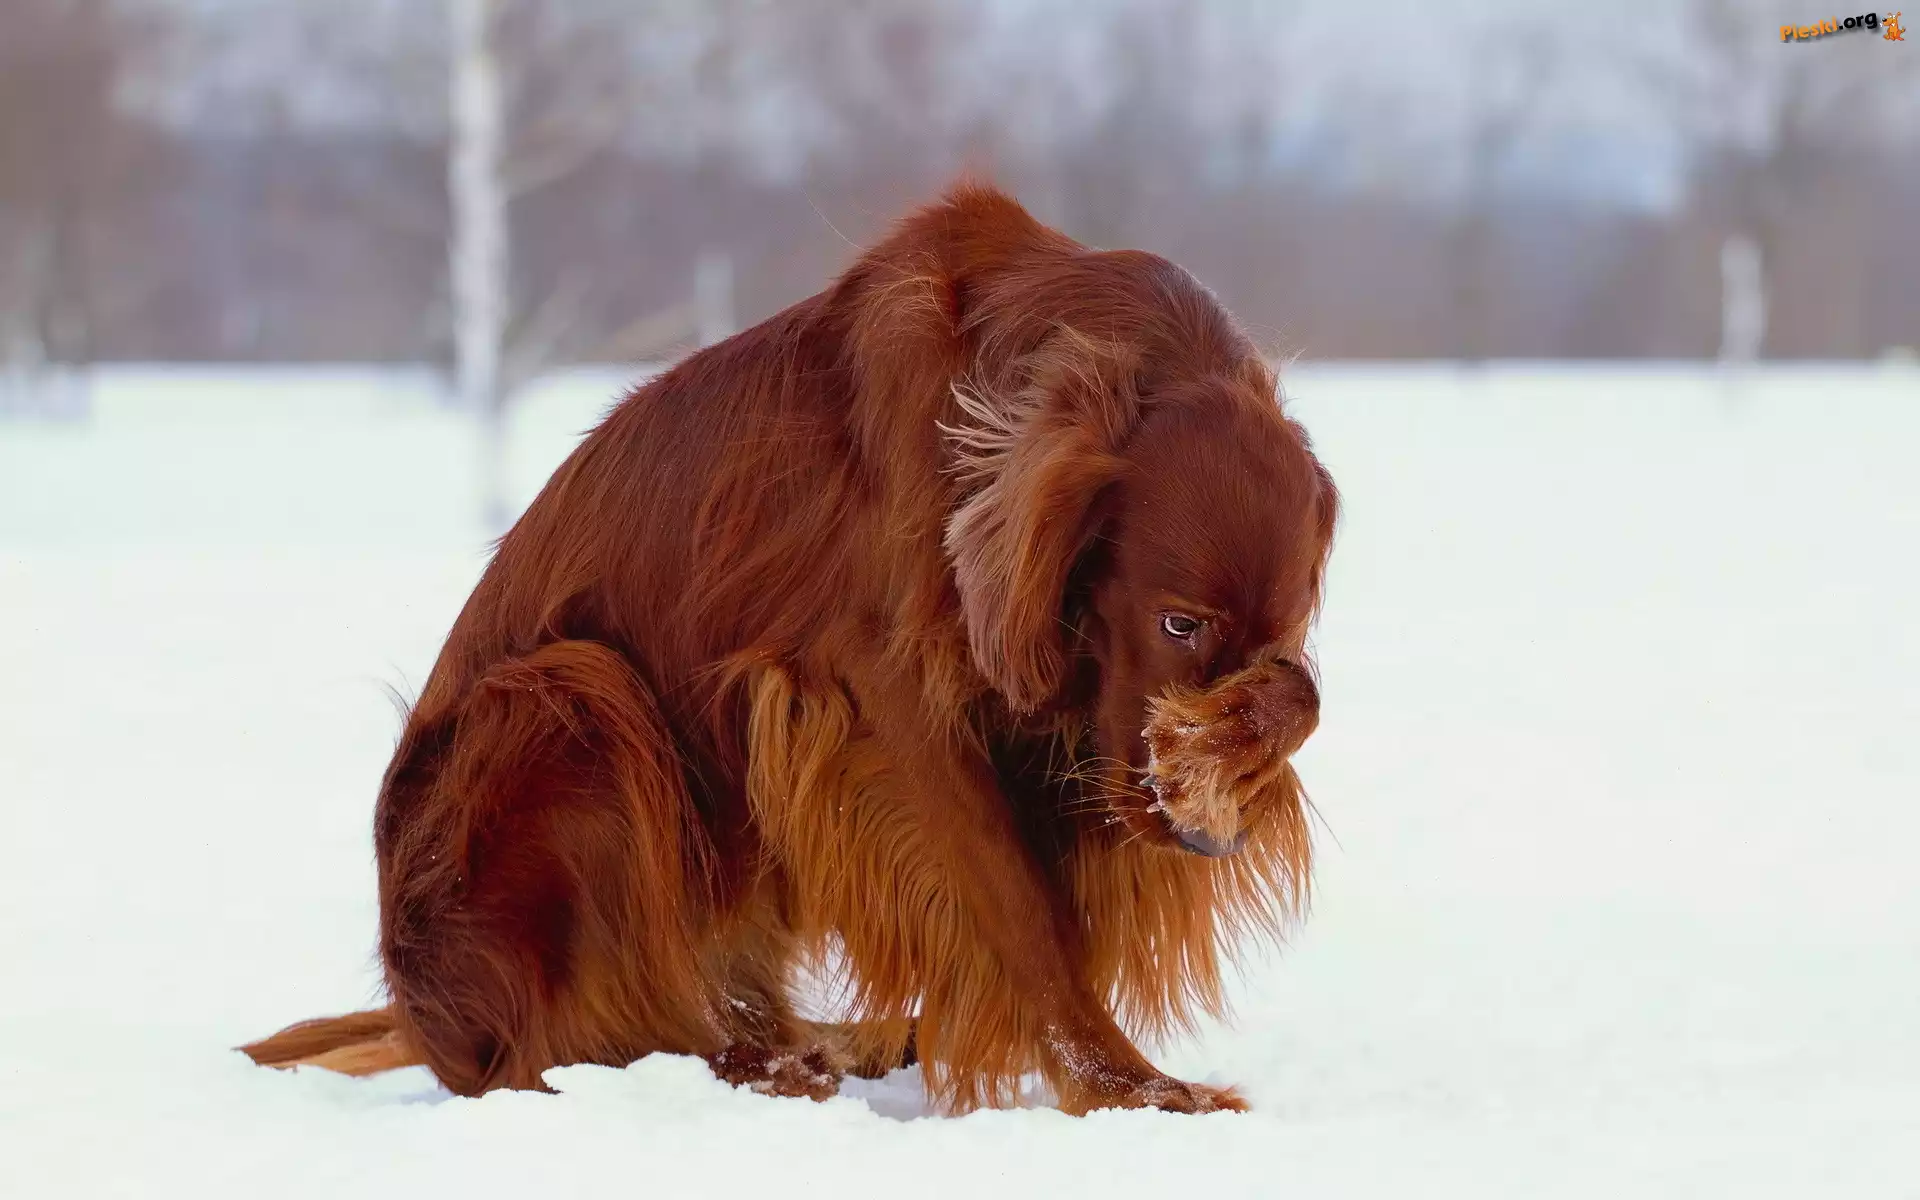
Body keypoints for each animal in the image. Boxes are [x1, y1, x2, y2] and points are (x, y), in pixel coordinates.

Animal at [242, 184, 1337, 1115]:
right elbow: (1024, 913)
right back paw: (763, 1068)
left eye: (1283, 631)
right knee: (552, 1055)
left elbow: (1290, 708)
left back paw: (837, 1040)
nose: (1201, 840)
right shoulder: (887, 703)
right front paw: (1128, 1089)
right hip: (570, 694)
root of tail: (423, 1015)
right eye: (1178, 623)